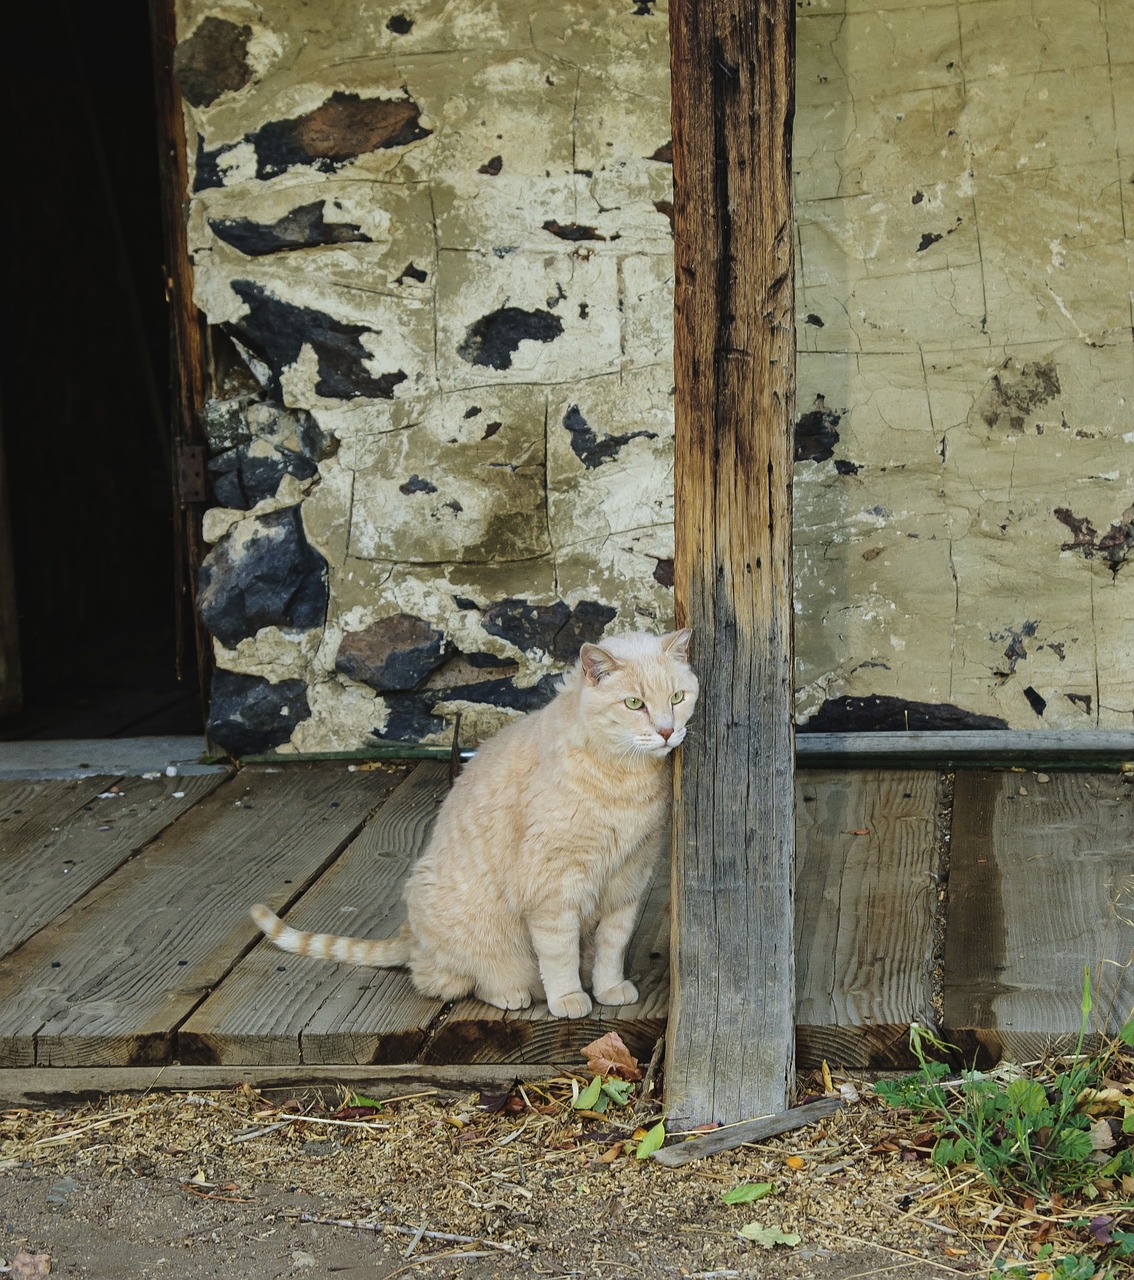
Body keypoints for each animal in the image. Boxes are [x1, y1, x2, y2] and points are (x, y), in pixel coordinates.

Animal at [252, 629, 696, 1018]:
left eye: (677, 697)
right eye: (634, 703)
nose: (666, 731)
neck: (624, 778)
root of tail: (409, 935)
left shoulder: (628, 880)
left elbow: (612, 946)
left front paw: (608, 988)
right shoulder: (552, 889)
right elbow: (559, 954)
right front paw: (568, 997)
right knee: (449, 979)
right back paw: (510, 992)